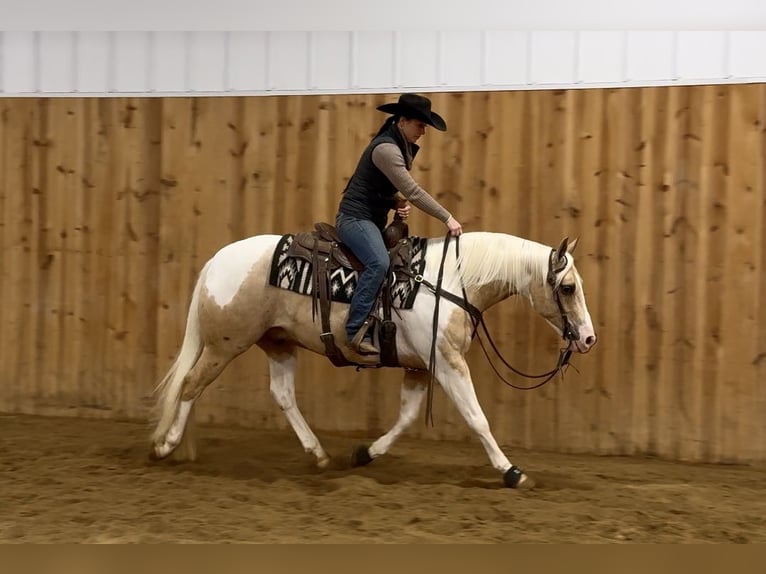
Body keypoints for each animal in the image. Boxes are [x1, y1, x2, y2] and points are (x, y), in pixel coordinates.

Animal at [148, 232, 592, 492]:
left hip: (277, 342)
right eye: (568, 287)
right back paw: (166, 446)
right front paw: (511, 471)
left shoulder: (420, 366)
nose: (588, 338)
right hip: (226, 344)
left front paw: (365, 453)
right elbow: (477, 418)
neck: (449, 281)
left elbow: (407, 417)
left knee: (283, 395)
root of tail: (216, 261)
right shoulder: (447, 362)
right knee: (191, 385)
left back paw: (318, 454)